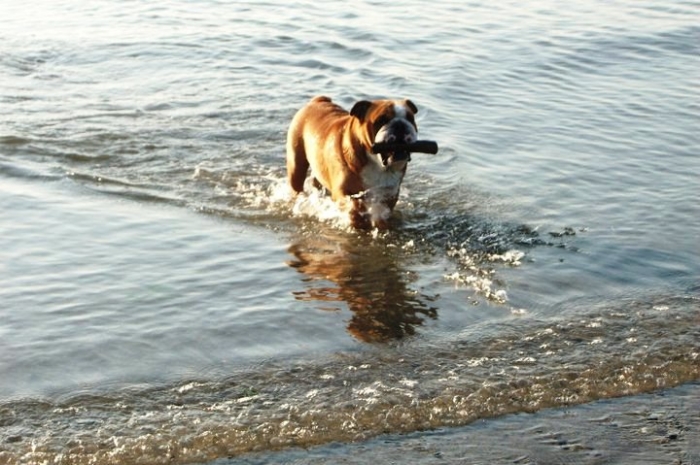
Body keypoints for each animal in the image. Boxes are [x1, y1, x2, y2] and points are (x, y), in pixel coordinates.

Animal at [288, 96, 418, 230]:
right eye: (381, 120)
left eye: (410, 118)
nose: (399, 124)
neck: (377, 163)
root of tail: (318, 100)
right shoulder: (341, 191)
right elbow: (353, 206)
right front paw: (357, 218)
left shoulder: (390, 193)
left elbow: (382, 211)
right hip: (296, 165)